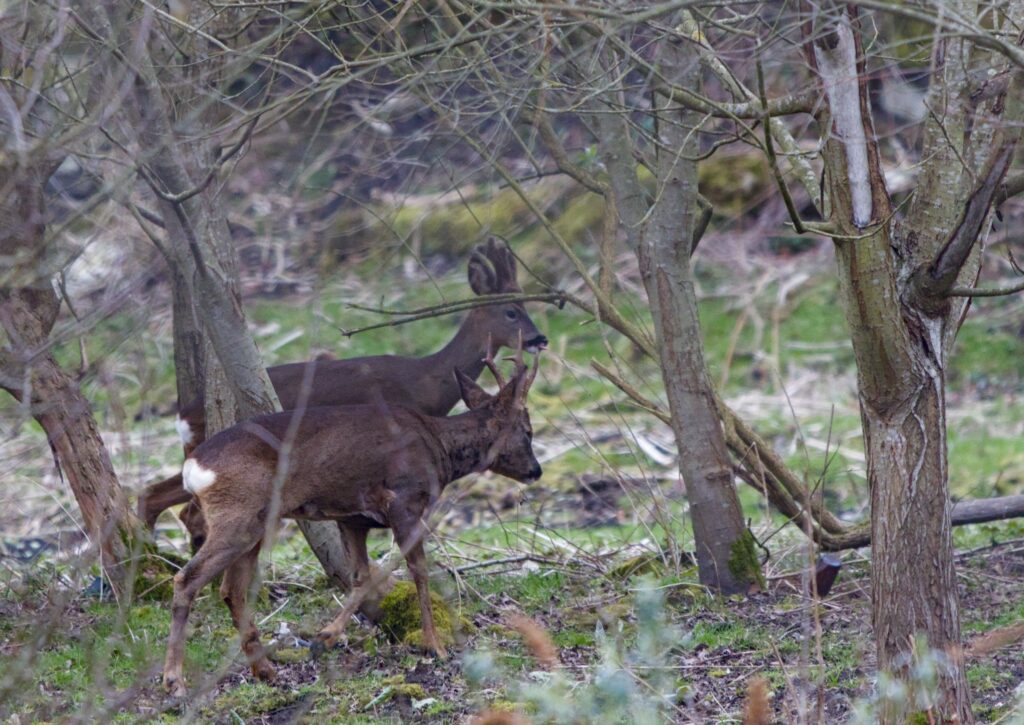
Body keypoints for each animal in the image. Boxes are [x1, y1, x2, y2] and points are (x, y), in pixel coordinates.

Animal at [139, 238, 547, 550]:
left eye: (527, 305)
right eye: (512, 311)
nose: (540, 338)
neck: (428, 381)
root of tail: (183, 415)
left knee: (160, 498)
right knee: (171, 503)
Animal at [161, 346, 542, 698]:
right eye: (528, 430)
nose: (536, 470)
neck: (439, 449)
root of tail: (194, 467)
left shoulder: (353, 519)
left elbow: (361, 576)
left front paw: (325, 638)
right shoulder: (404, 501)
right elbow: (418, 570)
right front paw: (435, 645)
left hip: (254, 523)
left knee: (231, 589)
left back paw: (265, 670)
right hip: (237, 515)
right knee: (187, 579)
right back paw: (174, 680)